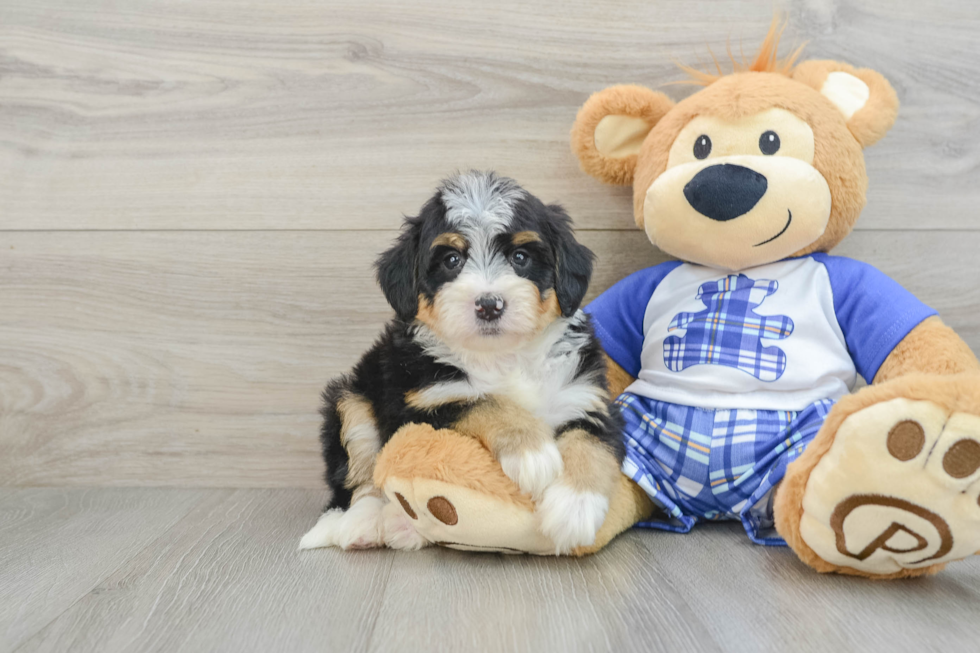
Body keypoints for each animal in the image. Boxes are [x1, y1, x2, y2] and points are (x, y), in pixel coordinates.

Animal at [298, 171, 624, 552]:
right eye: (451, 260)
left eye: (521, 257)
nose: (489, 304)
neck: (503, 356)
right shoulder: (425, 402)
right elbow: (485, 401)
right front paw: (533, 453)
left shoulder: (586, 397)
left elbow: (591, 443)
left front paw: (575, 509)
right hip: (352, 398)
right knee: (359, 480)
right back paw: (364, 523)